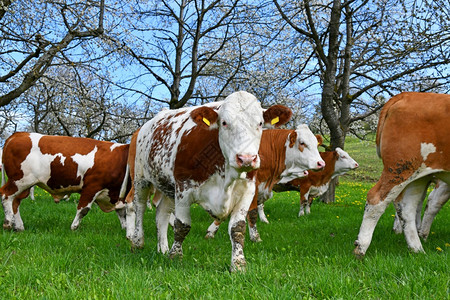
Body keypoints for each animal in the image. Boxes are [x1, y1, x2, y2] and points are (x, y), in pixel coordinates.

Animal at [0, 132, 130, 231]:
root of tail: (18, 134)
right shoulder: (92, 186)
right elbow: (83, 209)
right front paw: (74, 227)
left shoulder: (117, 194)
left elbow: (122, 212)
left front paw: (125, 228)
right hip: (19, 181)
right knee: (6, 195)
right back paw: (8, 223)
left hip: (24, 185)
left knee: (15, 201)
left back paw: (19, 227)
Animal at [124, 91, 312, 272]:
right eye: (224, 123)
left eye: (259, 123)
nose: (246, 158)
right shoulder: (184, 188)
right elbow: (182, 225)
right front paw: (175, 257)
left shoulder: (248, 190)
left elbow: (238, 228)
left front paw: (238, 264)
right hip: (141, 178)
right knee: (139, 207)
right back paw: (137, 242)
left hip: (168, 188)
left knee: (161, 214)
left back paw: (162, 248)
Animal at [356, 92, 450, 258]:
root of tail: (407, 94)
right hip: (399, 168)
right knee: (376, 200)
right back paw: (361, 248)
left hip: (418, 174)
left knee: (407, 208)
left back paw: (417, 249)